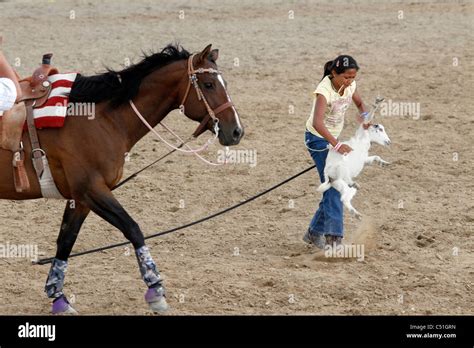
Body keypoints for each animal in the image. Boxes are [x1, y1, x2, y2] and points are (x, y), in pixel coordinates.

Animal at [0, 43, 244, 312]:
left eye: (224, 83)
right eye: (209, 84)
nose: (236, 131)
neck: (101, 119)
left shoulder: (81, 199)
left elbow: (65, 241)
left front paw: (58, 297)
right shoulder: (92, 190)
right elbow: (133, 228)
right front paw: (155, 290)